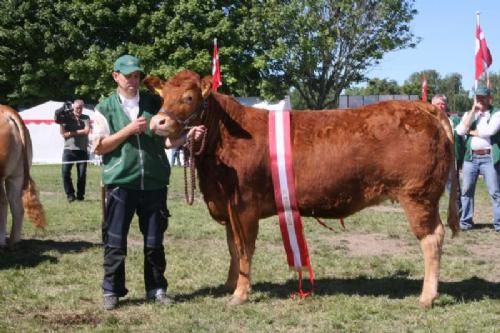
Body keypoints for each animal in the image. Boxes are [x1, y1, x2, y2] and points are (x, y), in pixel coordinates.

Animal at [144, 70, 458, 308]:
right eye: (162, 96)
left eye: (189, 97)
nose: (158, 121)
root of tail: (423, 107)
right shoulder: (227, 204)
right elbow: (233, 247)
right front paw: (230, 283)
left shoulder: (244, 204)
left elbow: (245, 248)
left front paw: (240, 294)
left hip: (418, 195)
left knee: (432, 238)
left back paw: (427, 297)